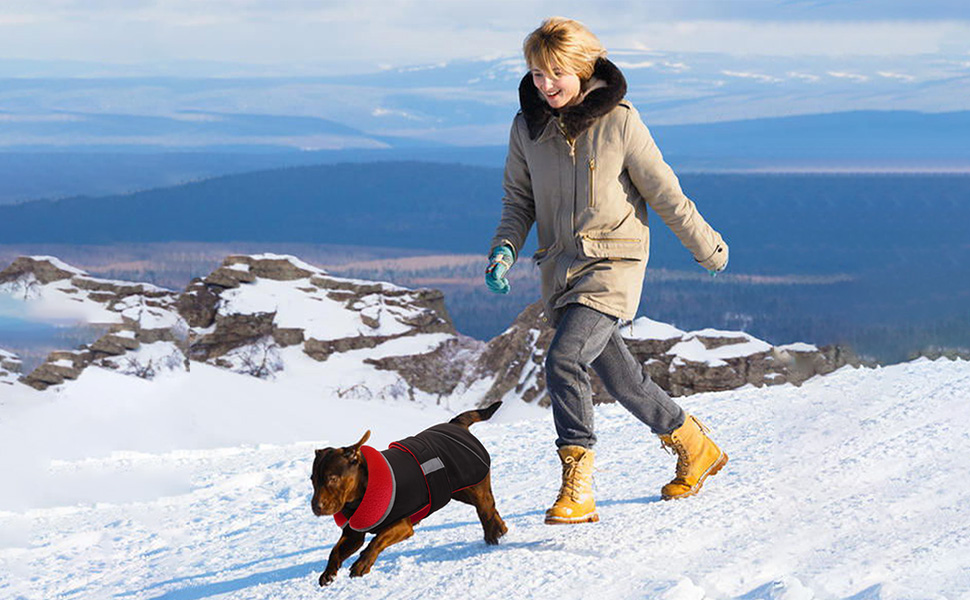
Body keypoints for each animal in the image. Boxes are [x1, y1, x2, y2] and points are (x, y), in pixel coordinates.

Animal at [310, 400, 506, 584]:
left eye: (332, 479)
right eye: (312, 480)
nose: (316, 507)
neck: (361, 495)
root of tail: (457, 424)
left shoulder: (403, 526)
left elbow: (377, 540)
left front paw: (362, 564)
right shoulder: (353, 535)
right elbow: (335, 551)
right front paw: (329, 572)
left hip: (475, 487)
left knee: (486, 511)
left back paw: (492, 535)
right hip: (458, 491)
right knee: (491, 510)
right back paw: (501, 529)